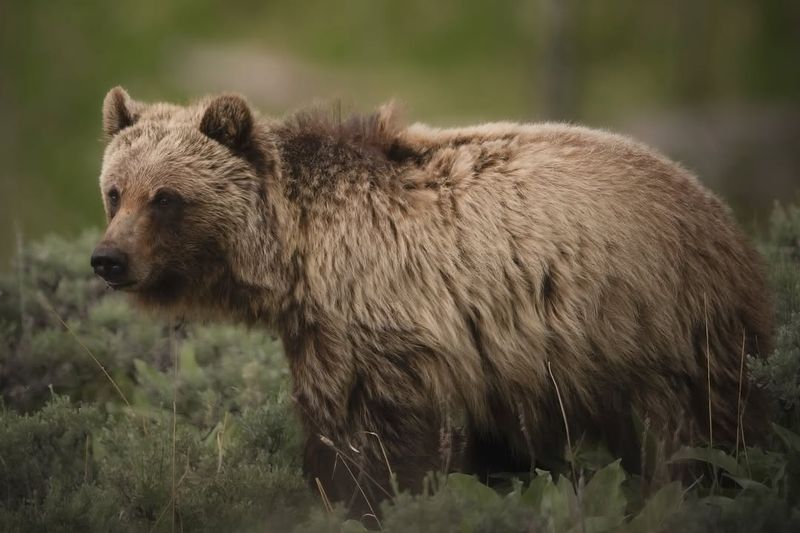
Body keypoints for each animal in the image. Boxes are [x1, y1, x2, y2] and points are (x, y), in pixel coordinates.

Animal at [92, 86, 768, 516]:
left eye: (166, 197)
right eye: (115, 191)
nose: (107, 259)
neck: (296, 250)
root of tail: (722, 215)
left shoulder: (381, 322)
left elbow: (374, 441)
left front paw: (369, 498)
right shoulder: (325, 329)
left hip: (655, 328)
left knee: (698, 435)